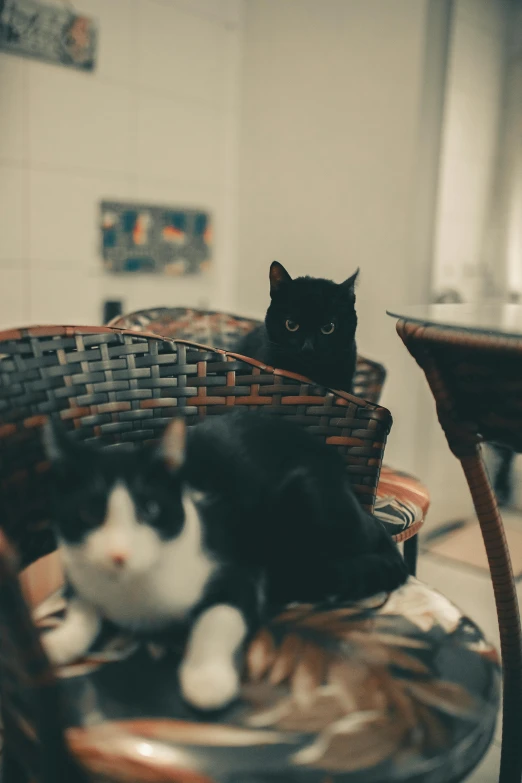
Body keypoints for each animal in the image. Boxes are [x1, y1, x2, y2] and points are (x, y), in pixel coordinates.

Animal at [41, 414, 406, 712]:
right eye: (89, 513)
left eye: (150, 509)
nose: (119, 554)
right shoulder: (76, 570)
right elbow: (82, 609)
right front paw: (59, 641)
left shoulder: (240, 572)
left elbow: (216, 620)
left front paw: (207, 680)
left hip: (309, 500)